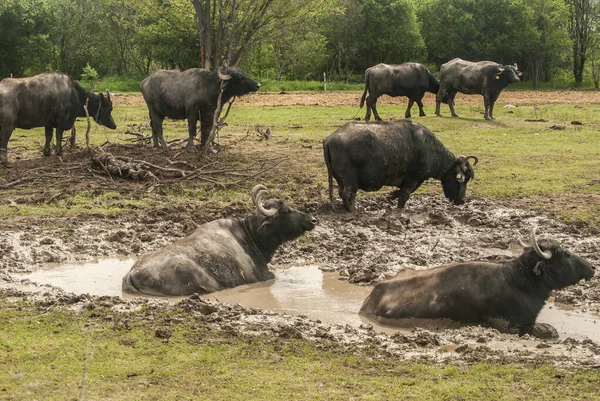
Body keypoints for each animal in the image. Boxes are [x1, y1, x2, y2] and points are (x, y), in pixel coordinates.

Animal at [324, 119, 478, 211]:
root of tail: (329, 138)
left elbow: (400, 192)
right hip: (350, 179)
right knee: (348, 194)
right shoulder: (413, 179)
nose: (462, 201)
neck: (429, 148)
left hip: (341, 179)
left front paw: (391, 196)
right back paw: (355, 210)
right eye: (461, 180)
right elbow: (405, 195)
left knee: (342, 193)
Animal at [356, 227, 596, 336]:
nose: (592, 267)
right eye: (565, 254)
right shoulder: (511, 324)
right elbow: (547, 331)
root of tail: (373, 295)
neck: (517, 280)